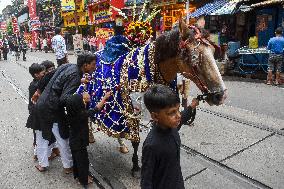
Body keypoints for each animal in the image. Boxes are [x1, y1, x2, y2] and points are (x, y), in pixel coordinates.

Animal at [75, 15, 226, 176]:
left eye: (213, 51)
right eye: (194, 56)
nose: (220, 95)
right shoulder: (132, 110)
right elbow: (136, 140)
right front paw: (135, 166)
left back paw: (121, 144)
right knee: (89, 116)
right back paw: (91, 136)